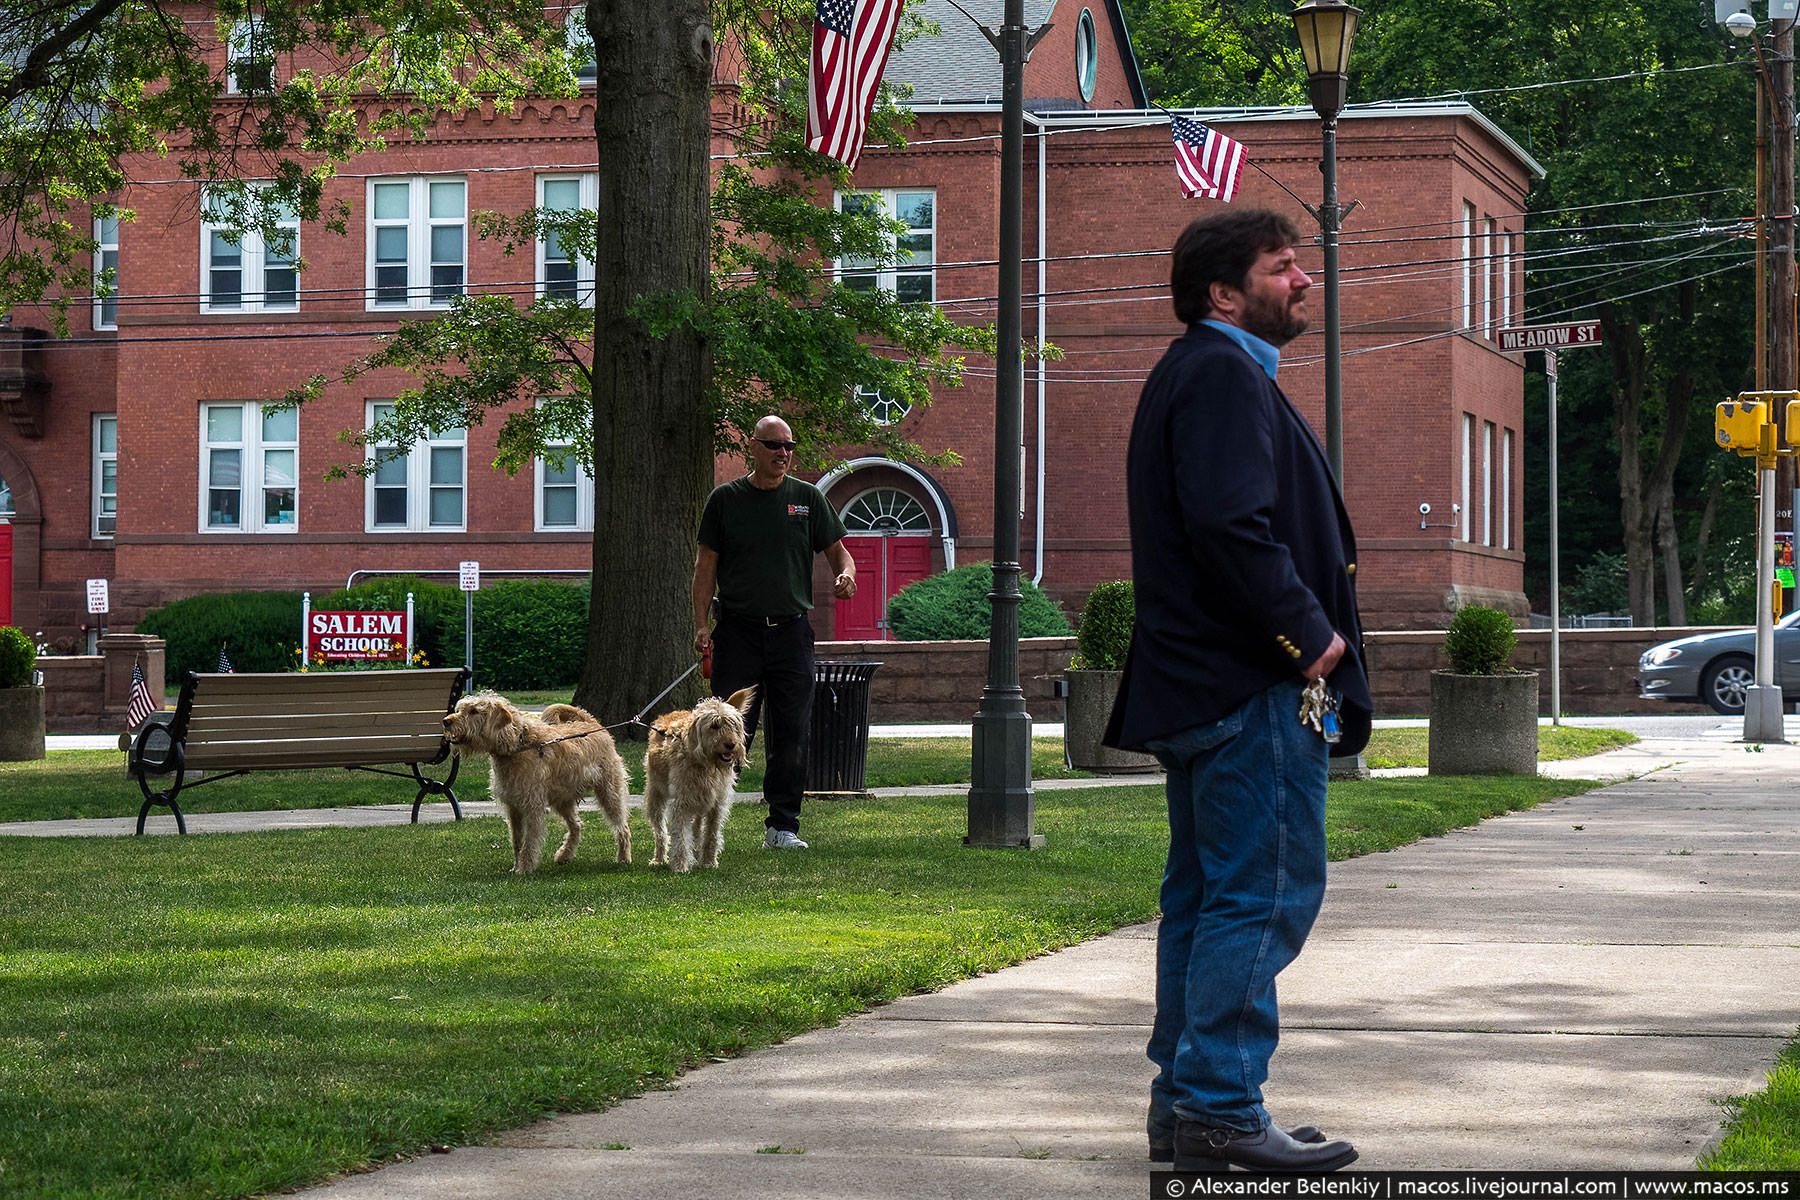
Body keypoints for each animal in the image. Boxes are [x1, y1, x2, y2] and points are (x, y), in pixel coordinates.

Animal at [442, 694, 633, 874]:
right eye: (460, 709)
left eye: (474, 711)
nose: (446, 721)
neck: (516, 745)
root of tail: (593, 723)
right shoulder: (513, 807)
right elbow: (517, 840)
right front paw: (516, 867)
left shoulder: (532, 806)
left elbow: (530, 840)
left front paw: (525, 869)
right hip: (562, 800)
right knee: (577, 825)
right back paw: (565, 855)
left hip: (609, 792)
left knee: (622, 827)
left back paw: (624, 857)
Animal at [644, 683, 756, 874]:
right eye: (715, 725)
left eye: (733, 725)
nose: (731, 744)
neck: (706, 766)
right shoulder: (681, 803)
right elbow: (680, 836)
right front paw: (680, 866)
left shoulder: (716, 804)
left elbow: (711, 833)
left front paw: (709, 862)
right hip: (655, 796)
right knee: (660, 832)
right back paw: (659, 858)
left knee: (696, 828)